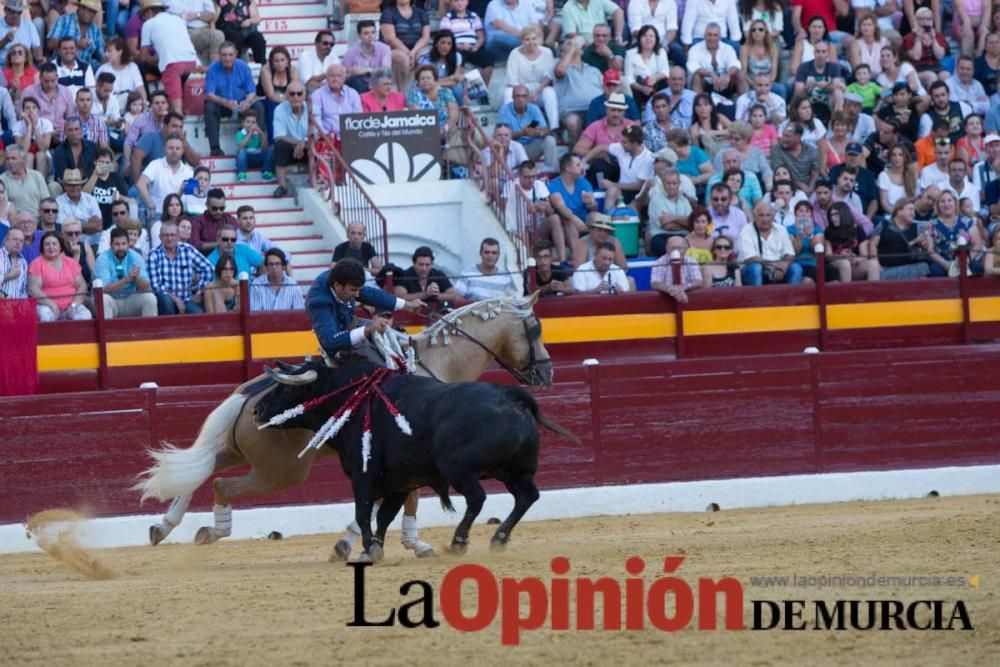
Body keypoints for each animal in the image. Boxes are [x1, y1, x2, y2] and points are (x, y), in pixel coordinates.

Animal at [254, 362, 580, 560]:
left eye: (286, 387)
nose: (257, 410)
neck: (356, 400)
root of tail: (511, 396)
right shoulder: (400, 482)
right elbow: (384, 516)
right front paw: (374, 548)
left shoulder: (363, 476)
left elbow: (364, 513)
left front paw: (368, 548)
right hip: (516, 470)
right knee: (527, 496)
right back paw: (499, 539)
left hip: (459, 469)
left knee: (477, 498)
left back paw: (459, 542)